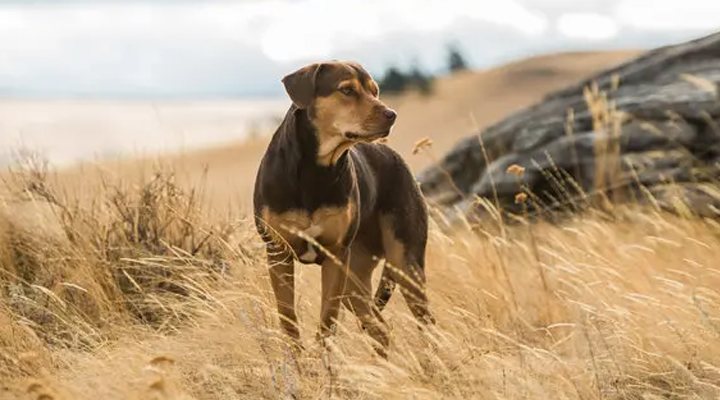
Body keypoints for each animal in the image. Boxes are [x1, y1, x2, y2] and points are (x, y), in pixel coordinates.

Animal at [253, 61, 434, 354]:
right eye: (347, 90)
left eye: (375, 90)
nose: (391, 115)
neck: (315, 170)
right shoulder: (278, 252)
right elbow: (288, 319)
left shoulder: (336, 256)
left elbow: (327, 322)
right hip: (355, 279)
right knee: (379, 327)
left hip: (404, 264)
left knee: (424, 324)